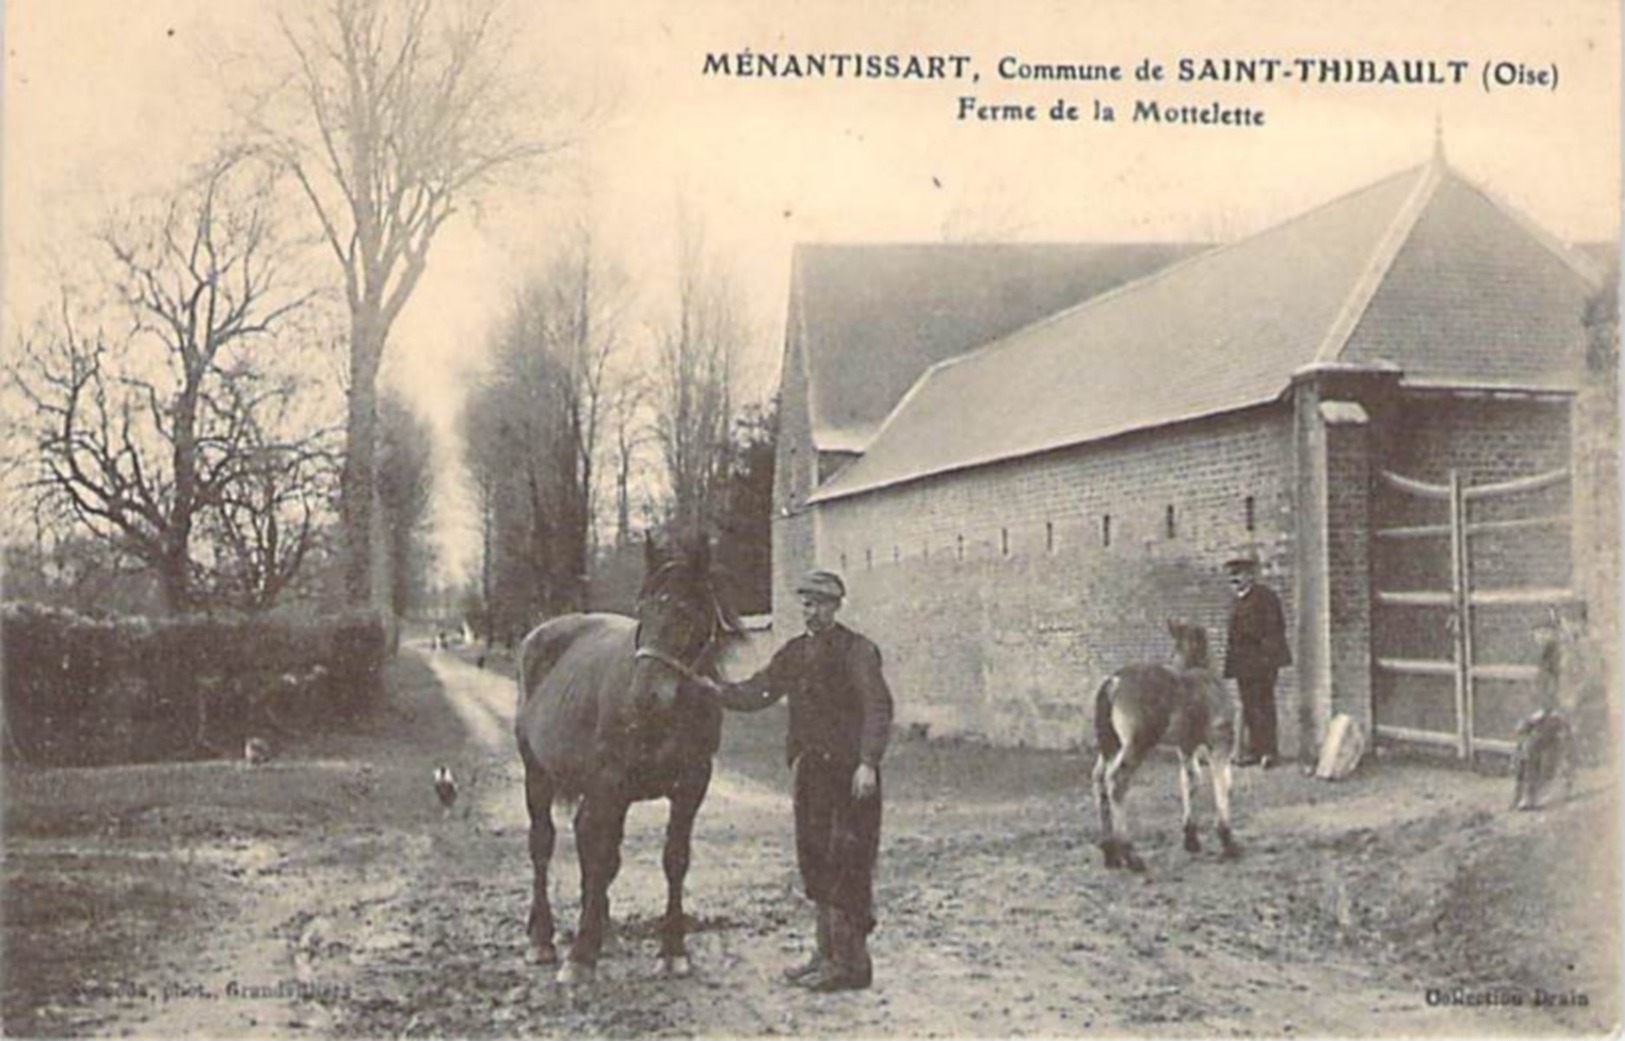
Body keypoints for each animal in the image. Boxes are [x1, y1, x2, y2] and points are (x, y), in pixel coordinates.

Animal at [513, 535, 744, 980]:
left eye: (687, 612)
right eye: (644, 609)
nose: (645, 695)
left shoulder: (691, 786)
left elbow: (673, 859)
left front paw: (672, 949)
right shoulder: (608, 785)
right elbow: (598, 854)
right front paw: (580, 954)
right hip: (538, 776)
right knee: (543, 845)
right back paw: (542, 938)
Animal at [1092, 620, 1241, 870]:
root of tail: (1114, 681)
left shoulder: (1186, 746)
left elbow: (1191, 780)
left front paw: (1191, 838)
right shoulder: (1221, 742)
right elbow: (1223, 783)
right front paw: (1227, 840)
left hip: (1111, 746)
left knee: (1100, 779)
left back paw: (1110, 853)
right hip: (1137, 744)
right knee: (1117, 782)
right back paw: (1130, 854)